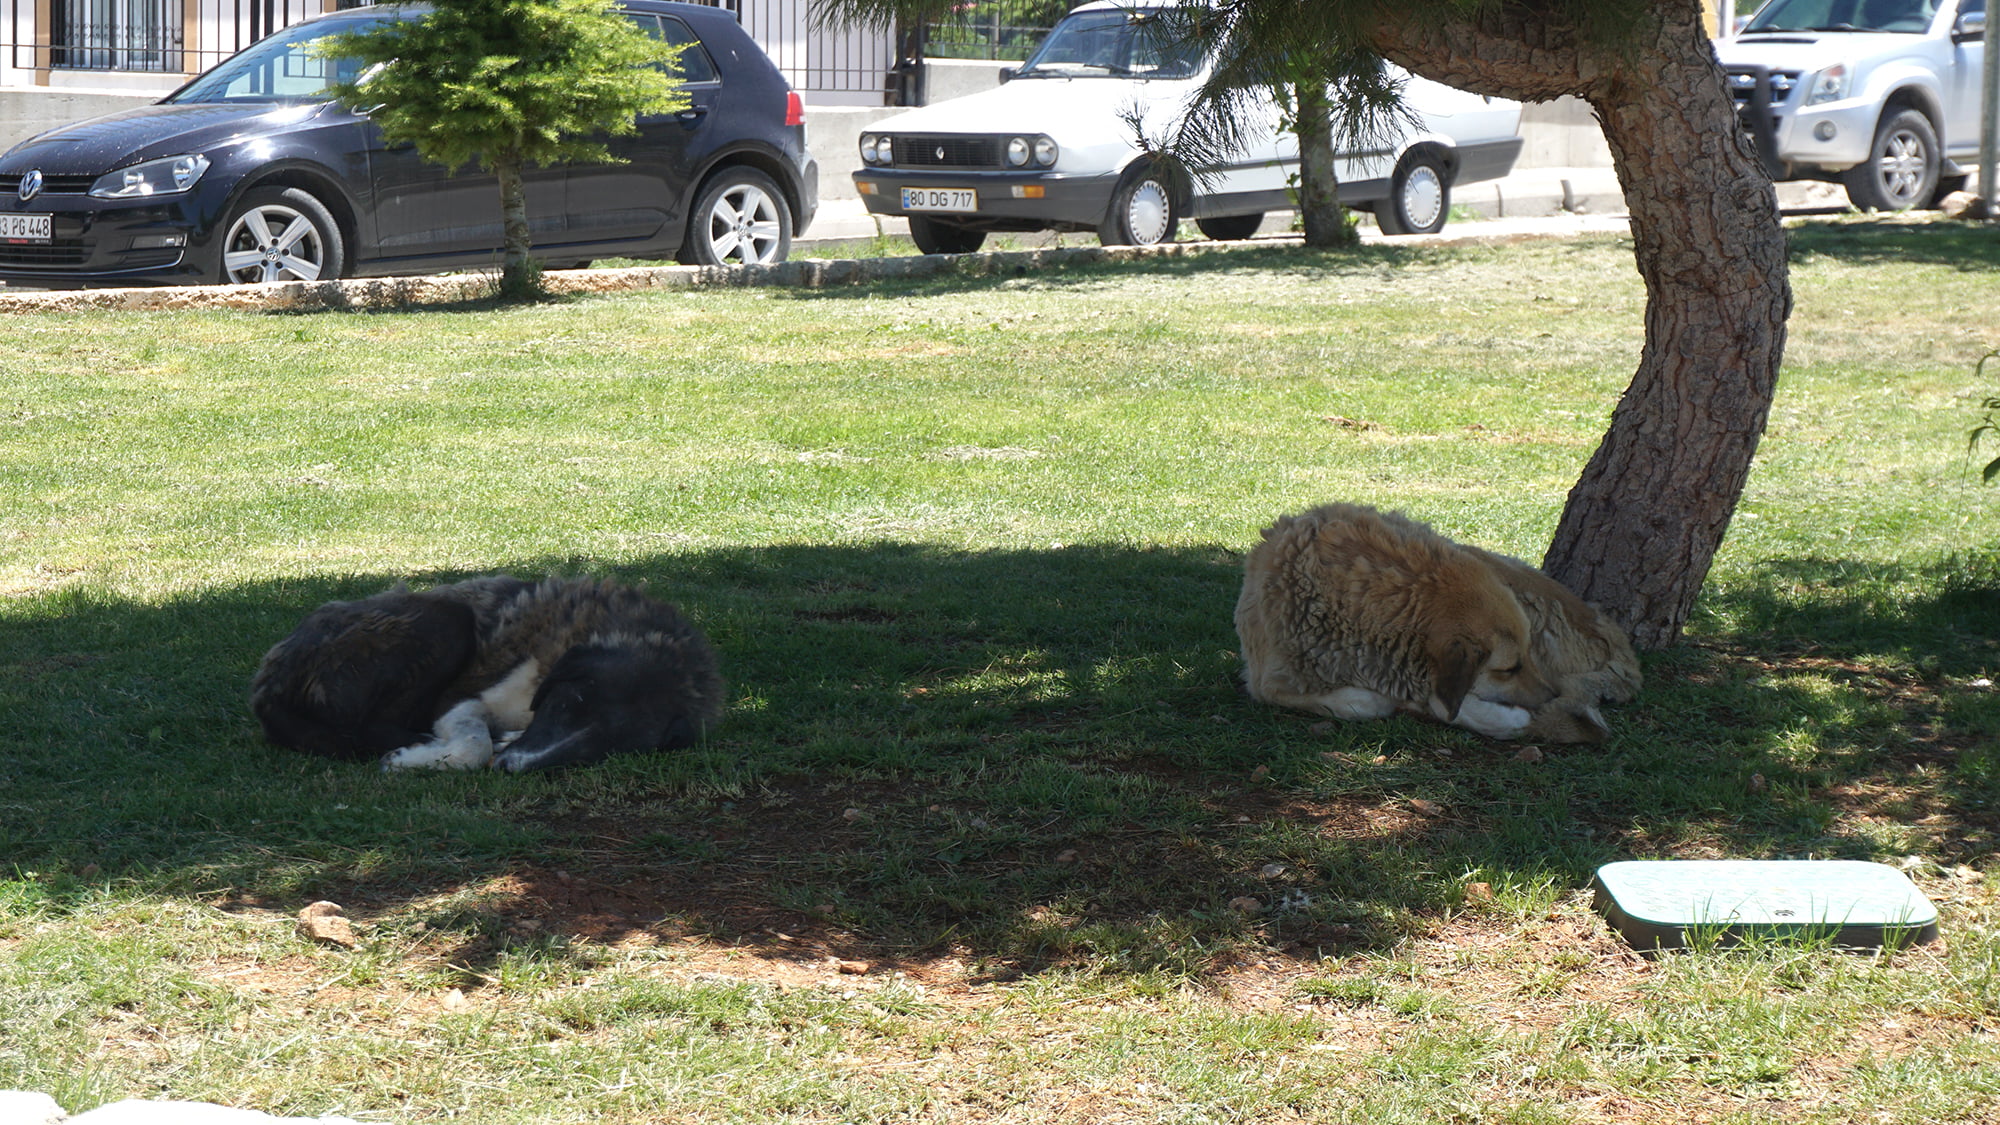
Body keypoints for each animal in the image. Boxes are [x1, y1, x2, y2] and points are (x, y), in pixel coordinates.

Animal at [246, 572, 724, 764]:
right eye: (565, 706)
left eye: (604, 746)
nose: (511, 767)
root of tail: (269, 690)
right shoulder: (461, 700)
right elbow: (473, 747)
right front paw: (417, 758)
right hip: (447, 618)